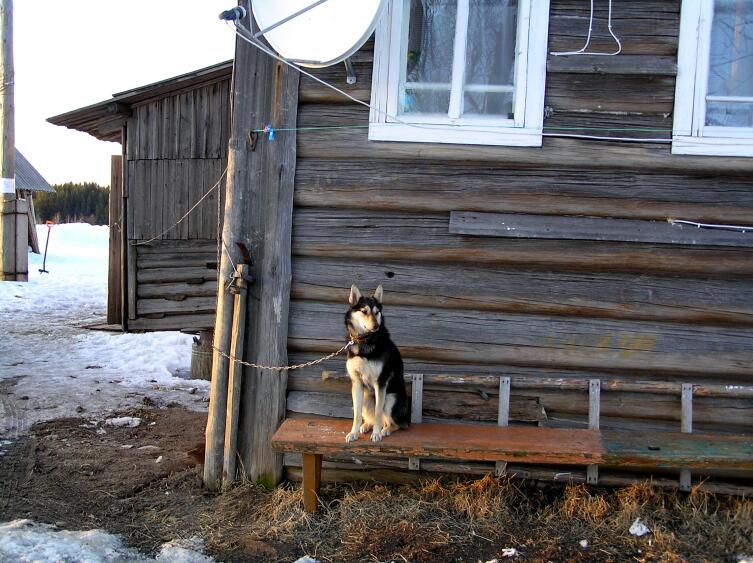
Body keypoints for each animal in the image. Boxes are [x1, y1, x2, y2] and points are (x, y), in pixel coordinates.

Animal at [342, 284, 408, 442]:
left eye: (377, 312)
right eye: (364, 311)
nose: (376, 326)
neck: (364, 341)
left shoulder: (381, 383)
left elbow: (378, 412)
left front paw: (377, 434)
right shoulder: (357, 383)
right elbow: (357, 414)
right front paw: (353, 433)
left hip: (391, 399)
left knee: (396, 423)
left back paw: (385, 430)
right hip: (366, 397)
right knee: (371, 417)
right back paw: (366, 426)